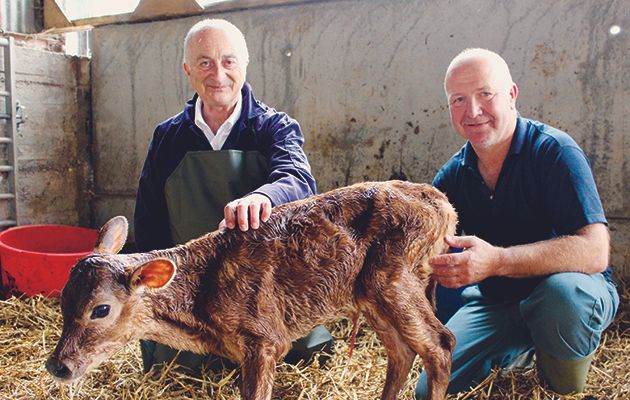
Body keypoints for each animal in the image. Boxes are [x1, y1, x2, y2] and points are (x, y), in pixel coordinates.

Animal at [45, 181, 460, 400]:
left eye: (101, 309)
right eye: (63, 301)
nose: (57, 365)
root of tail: (439, 200)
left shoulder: (264, 338)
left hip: (395, 276)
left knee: (440, 344)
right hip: (371, 294)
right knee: (402, 351)